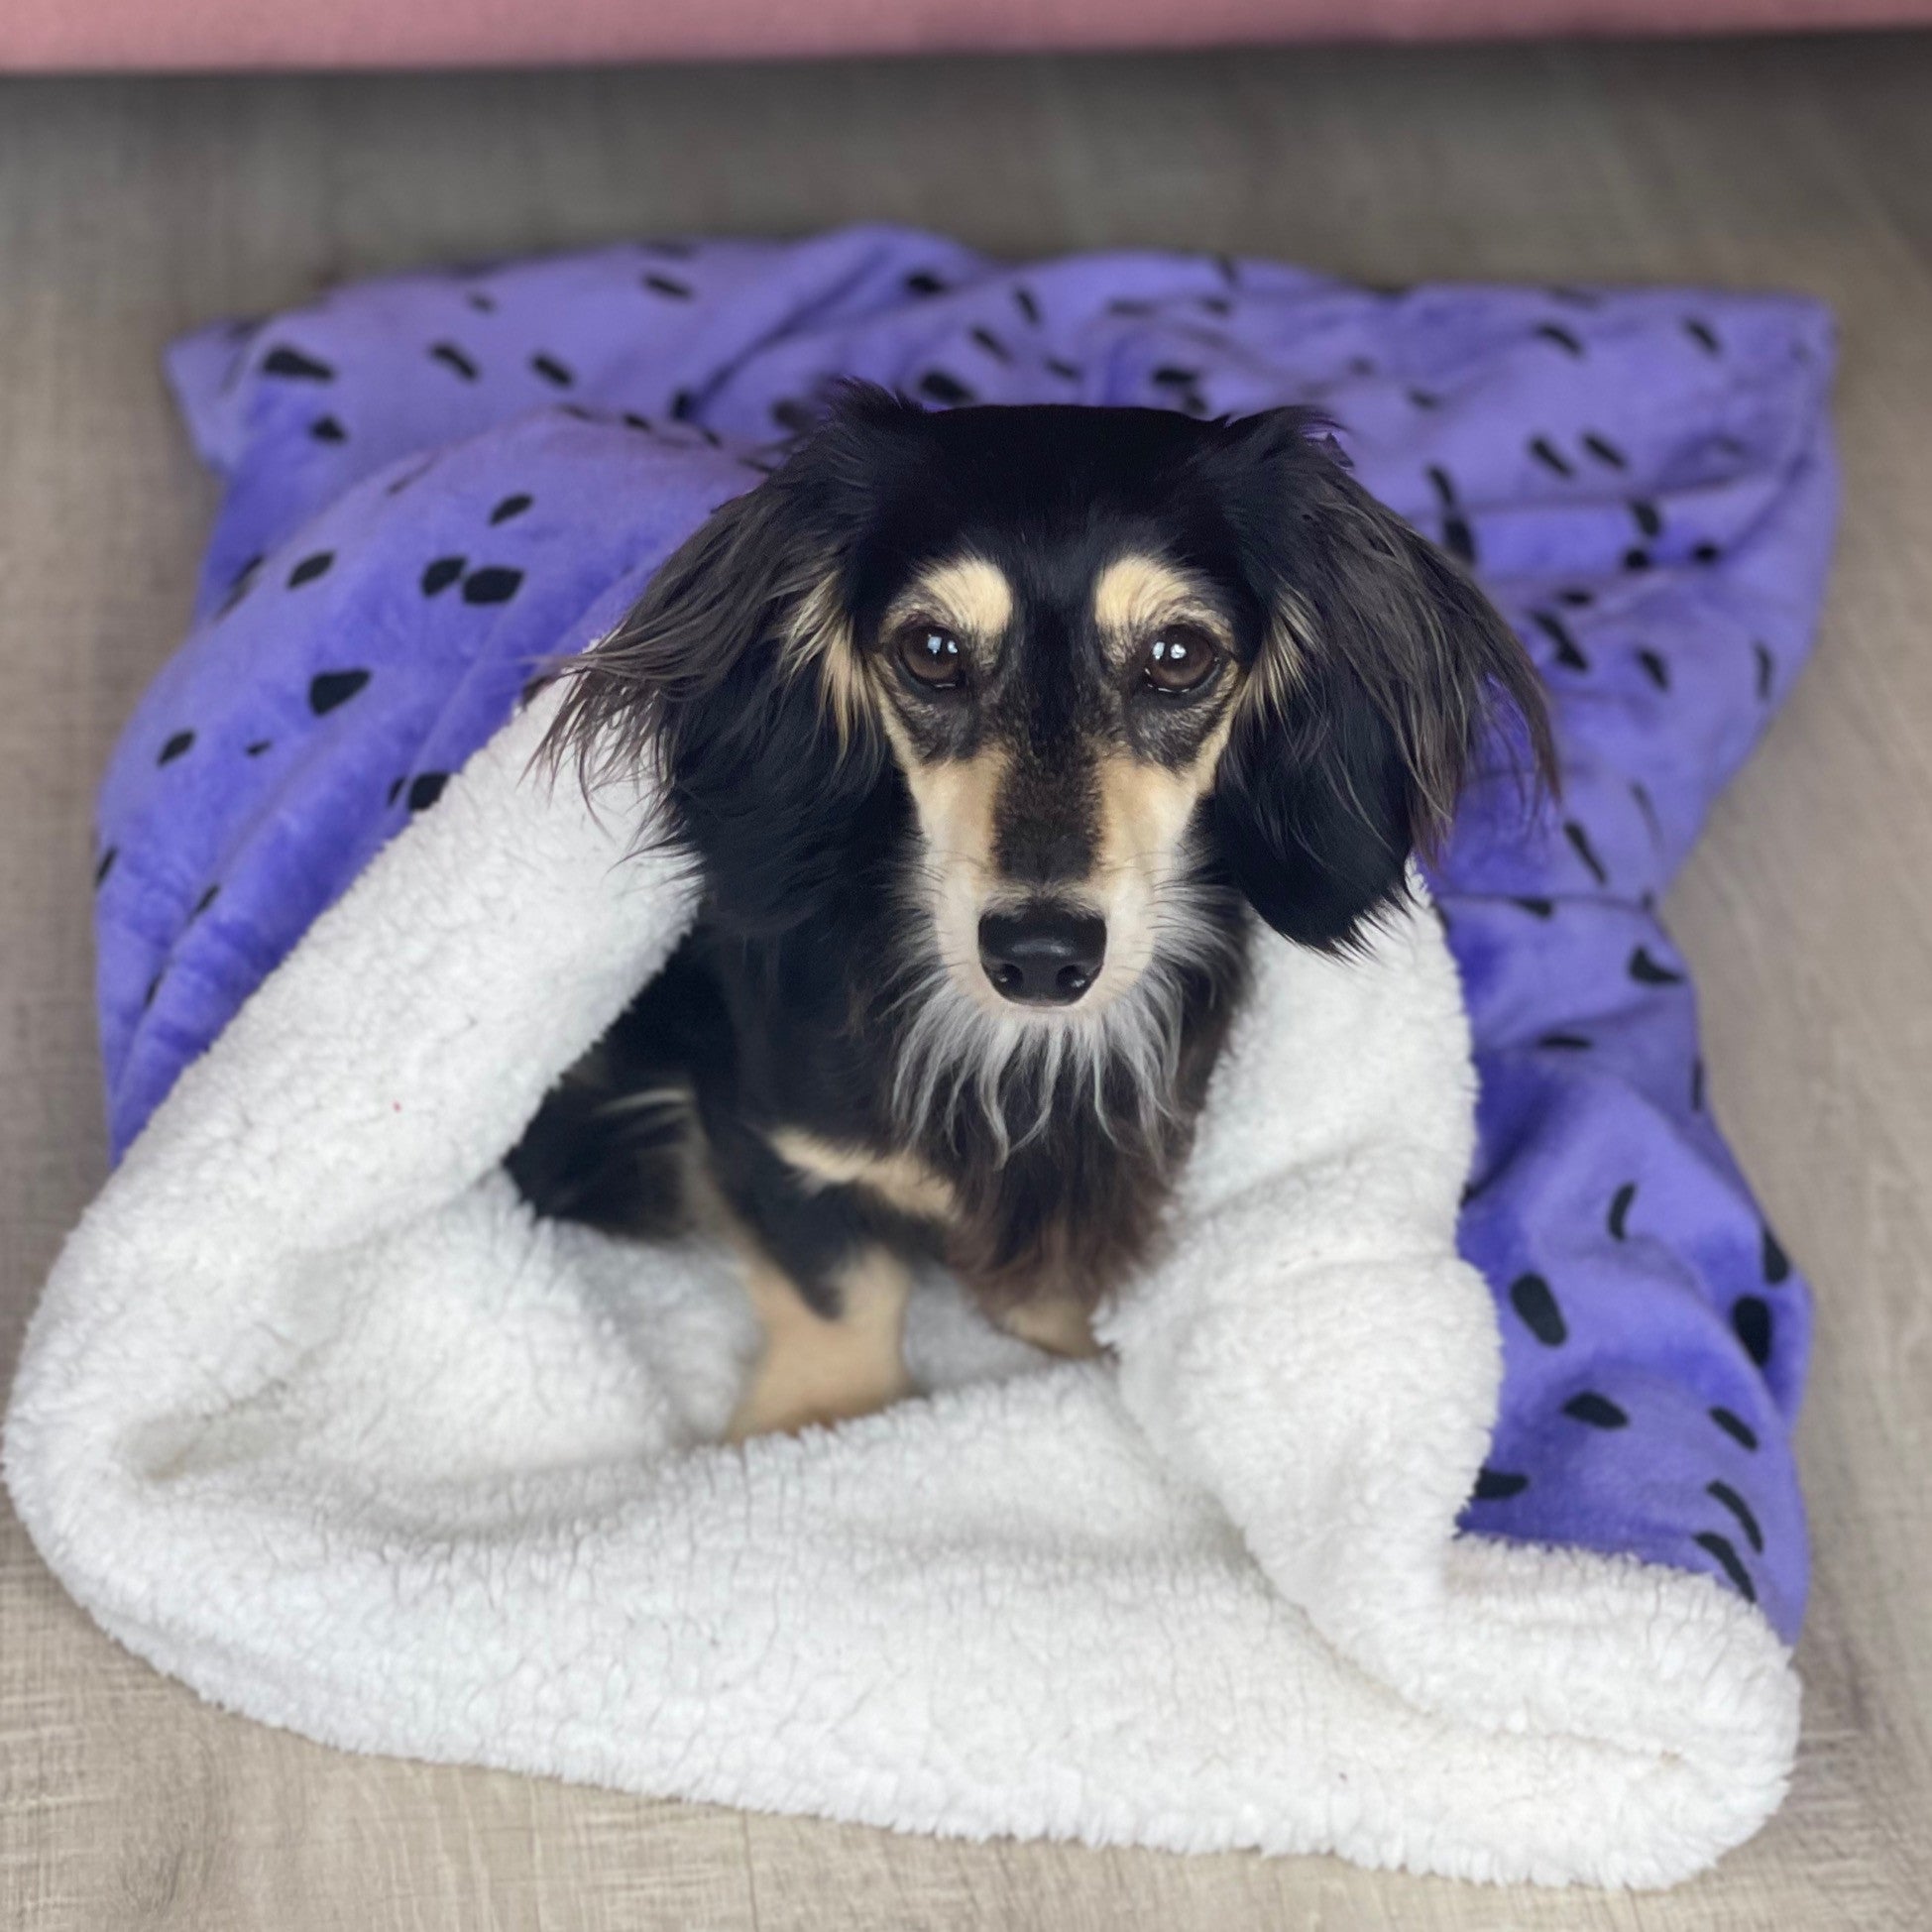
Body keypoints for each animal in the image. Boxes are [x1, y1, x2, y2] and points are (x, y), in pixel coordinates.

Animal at [507, 384, 1553, 1439]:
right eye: (931, 650)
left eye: (1179, 655)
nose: (1041, 955)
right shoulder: (773, 1137)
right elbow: (837, 1288)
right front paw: (815, 1418)